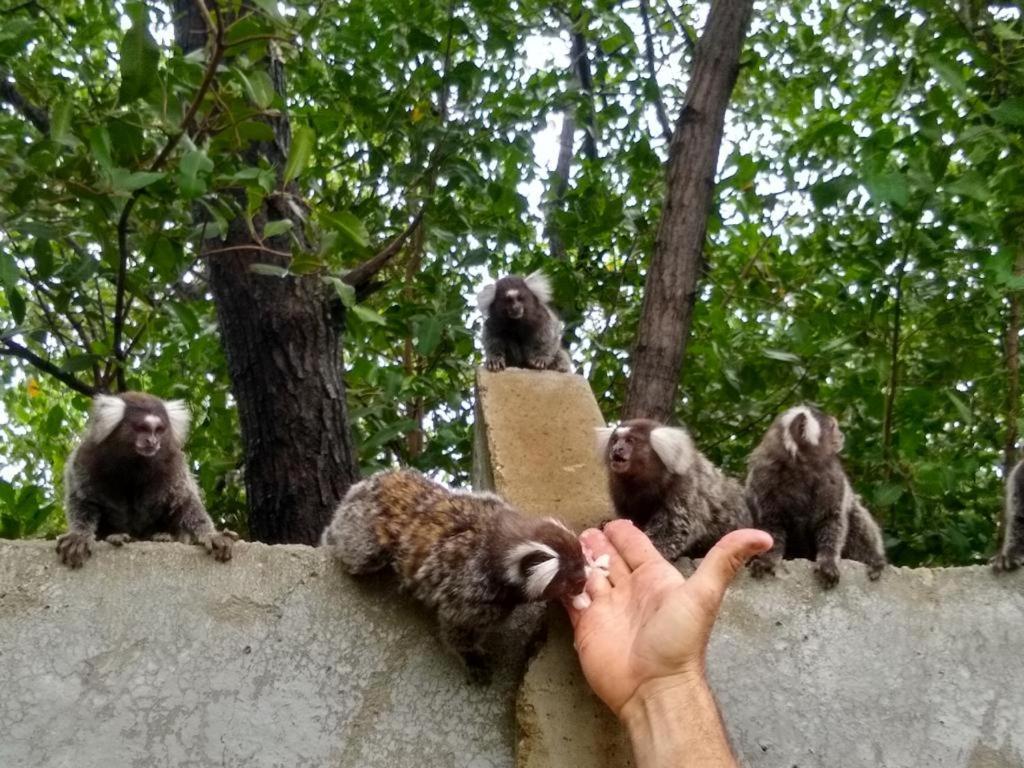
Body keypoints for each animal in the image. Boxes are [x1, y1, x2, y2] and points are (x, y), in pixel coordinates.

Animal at [57, 393, 237, 569]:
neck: (134, 464)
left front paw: (211, 534)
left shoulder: (174, 463)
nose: (152, 441)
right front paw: (79, 535)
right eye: (142, 428)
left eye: (158, 430)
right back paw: (116, 537)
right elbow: (83, 500)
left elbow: (185, 502)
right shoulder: (85, 457)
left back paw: (164, 537)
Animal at [319, 468, 593, 679]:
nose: (583, 586)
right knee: (360, 553)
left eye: (582, 573)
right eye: (575, 581)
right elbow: (456, 626)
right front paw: (471, 657)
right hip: (362, 530)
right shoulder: (473, 590)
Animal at [593, 417, 753, 561]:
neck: (643, 483)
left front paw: (654, 547)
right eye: (614, 441)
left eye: (630, 441)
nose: (617, 449)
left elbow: (674, 530)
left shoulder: (683, 487)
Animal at [745, 403, 888, 589]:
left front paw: (828, 562)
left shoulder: (834, 479)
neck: (799, 467)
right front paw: (767, 559)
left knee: (856, 514)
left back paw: (874, 560)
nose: (841, 435)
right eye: (833, 426)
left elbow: (832, 521)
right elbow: (770, 526)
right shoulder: (762, 479)